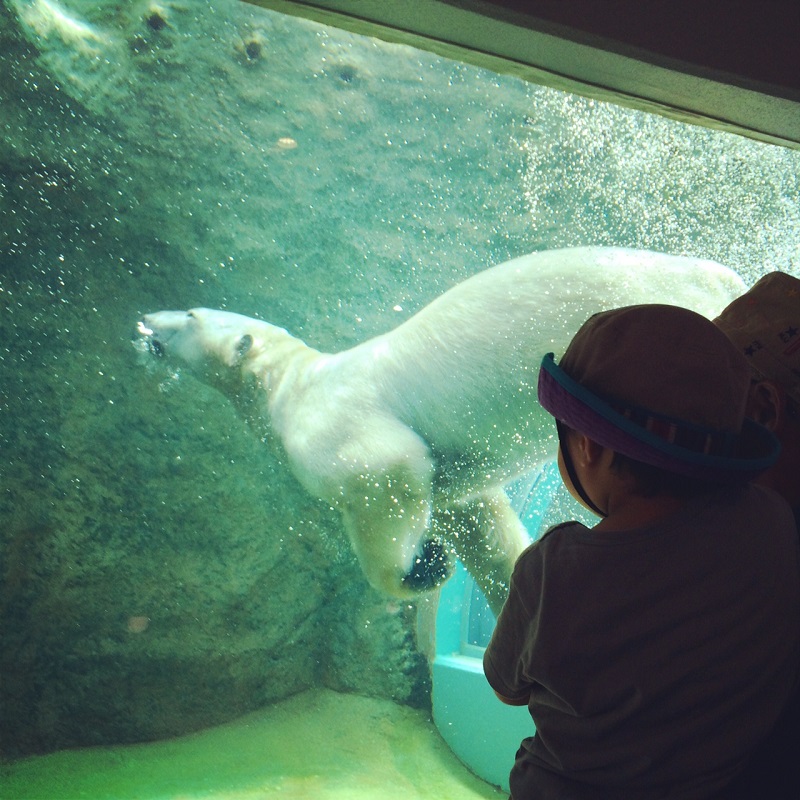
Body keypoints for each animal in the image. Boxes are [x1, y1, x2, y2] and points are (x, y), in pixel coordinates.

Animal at [136, 245, 744, 612]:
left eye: (190, 315)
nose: (147, 322)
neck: (292, 384)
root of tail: (720, 275)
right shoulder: (459, 482)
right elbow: (482, 523)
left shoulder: (339, 424)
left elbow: (387, 468)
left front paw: (421, 569)